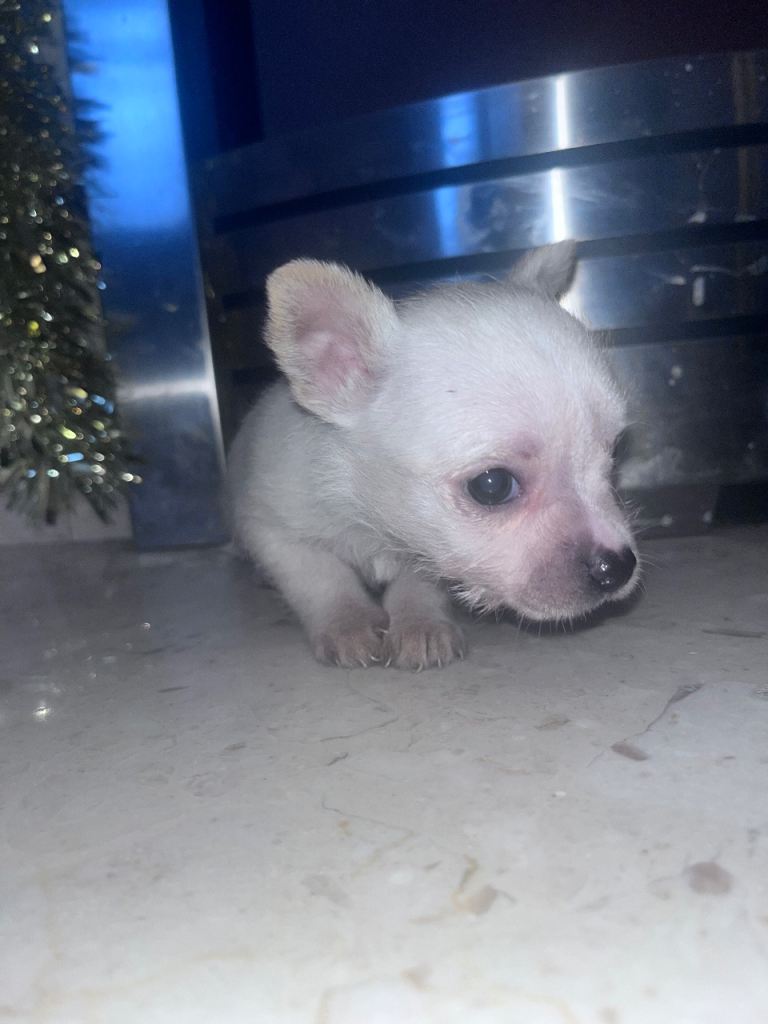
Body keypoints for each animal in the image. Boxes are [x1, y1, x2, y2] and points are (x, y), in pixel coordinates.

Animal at [227, 241, 639, 669]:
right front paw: (349, 624)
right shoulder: (273, 529)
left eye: (613, 453)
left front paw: (420, 625)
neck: (377, 528)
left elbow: (420, 584)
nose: (618, 567)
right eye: (491, 486)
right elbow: (322, 578)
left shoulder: (432, 549)